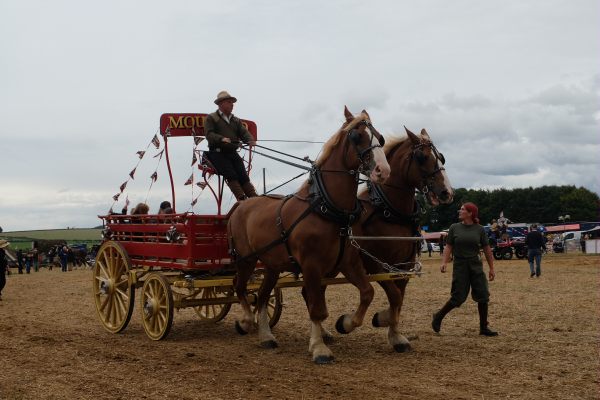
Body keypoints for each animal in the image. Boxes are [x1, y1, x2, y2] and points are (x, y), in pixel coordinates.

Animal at [227, 108, 392, 364]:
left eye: (381, 138)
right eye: (357, 136)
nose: (383, 171)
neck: (326, 208)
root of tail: (241, 204)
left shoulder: (348, 262)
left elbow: (367, 293)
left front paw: (345, 323)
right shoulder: (311, 265)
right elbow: (317, 308)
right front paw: (319, 347)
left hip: (272, 265)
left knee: (262, 296)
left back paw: (266, 336)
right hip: (246, 259)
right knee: (240, 287)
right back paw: (246, 321)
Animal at [346, 126, 454, 352]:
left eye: (441, 157)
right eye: (421, 157)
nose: (447, 192)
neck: (388, 211)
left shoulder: (404, 264)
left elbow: (399, 297)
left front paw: (394, 333)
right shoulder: (374, 263)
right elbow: (394, 295)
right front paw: (382, 320)